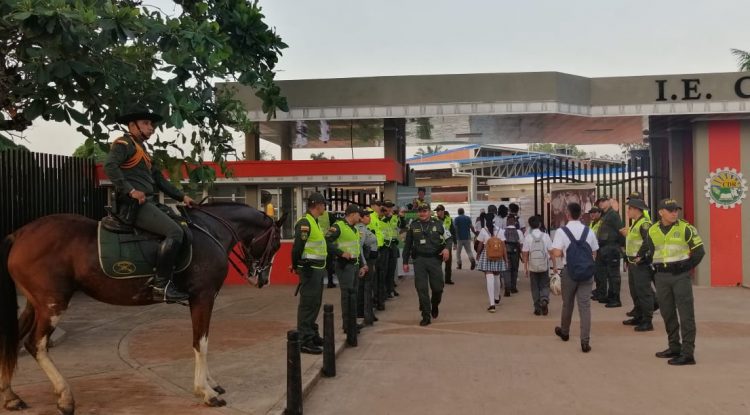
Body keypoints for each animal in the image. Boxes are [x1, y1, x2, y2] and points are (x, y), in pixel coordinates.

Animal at [0, 203, 288, 414]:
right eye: (275, 244)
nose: (262, 279)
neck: (210, 231)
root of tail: (20, 234)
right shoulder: (203, 297)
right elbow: (201, 342)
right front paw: (205, 391)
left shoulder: (202, 299)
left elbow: (202, 340)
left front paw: (211, 384)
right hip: (52, 304)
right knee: (35, 344)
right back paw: (64, 397)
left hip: (34, 304)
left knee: (13, 341)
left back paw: (11, 396)